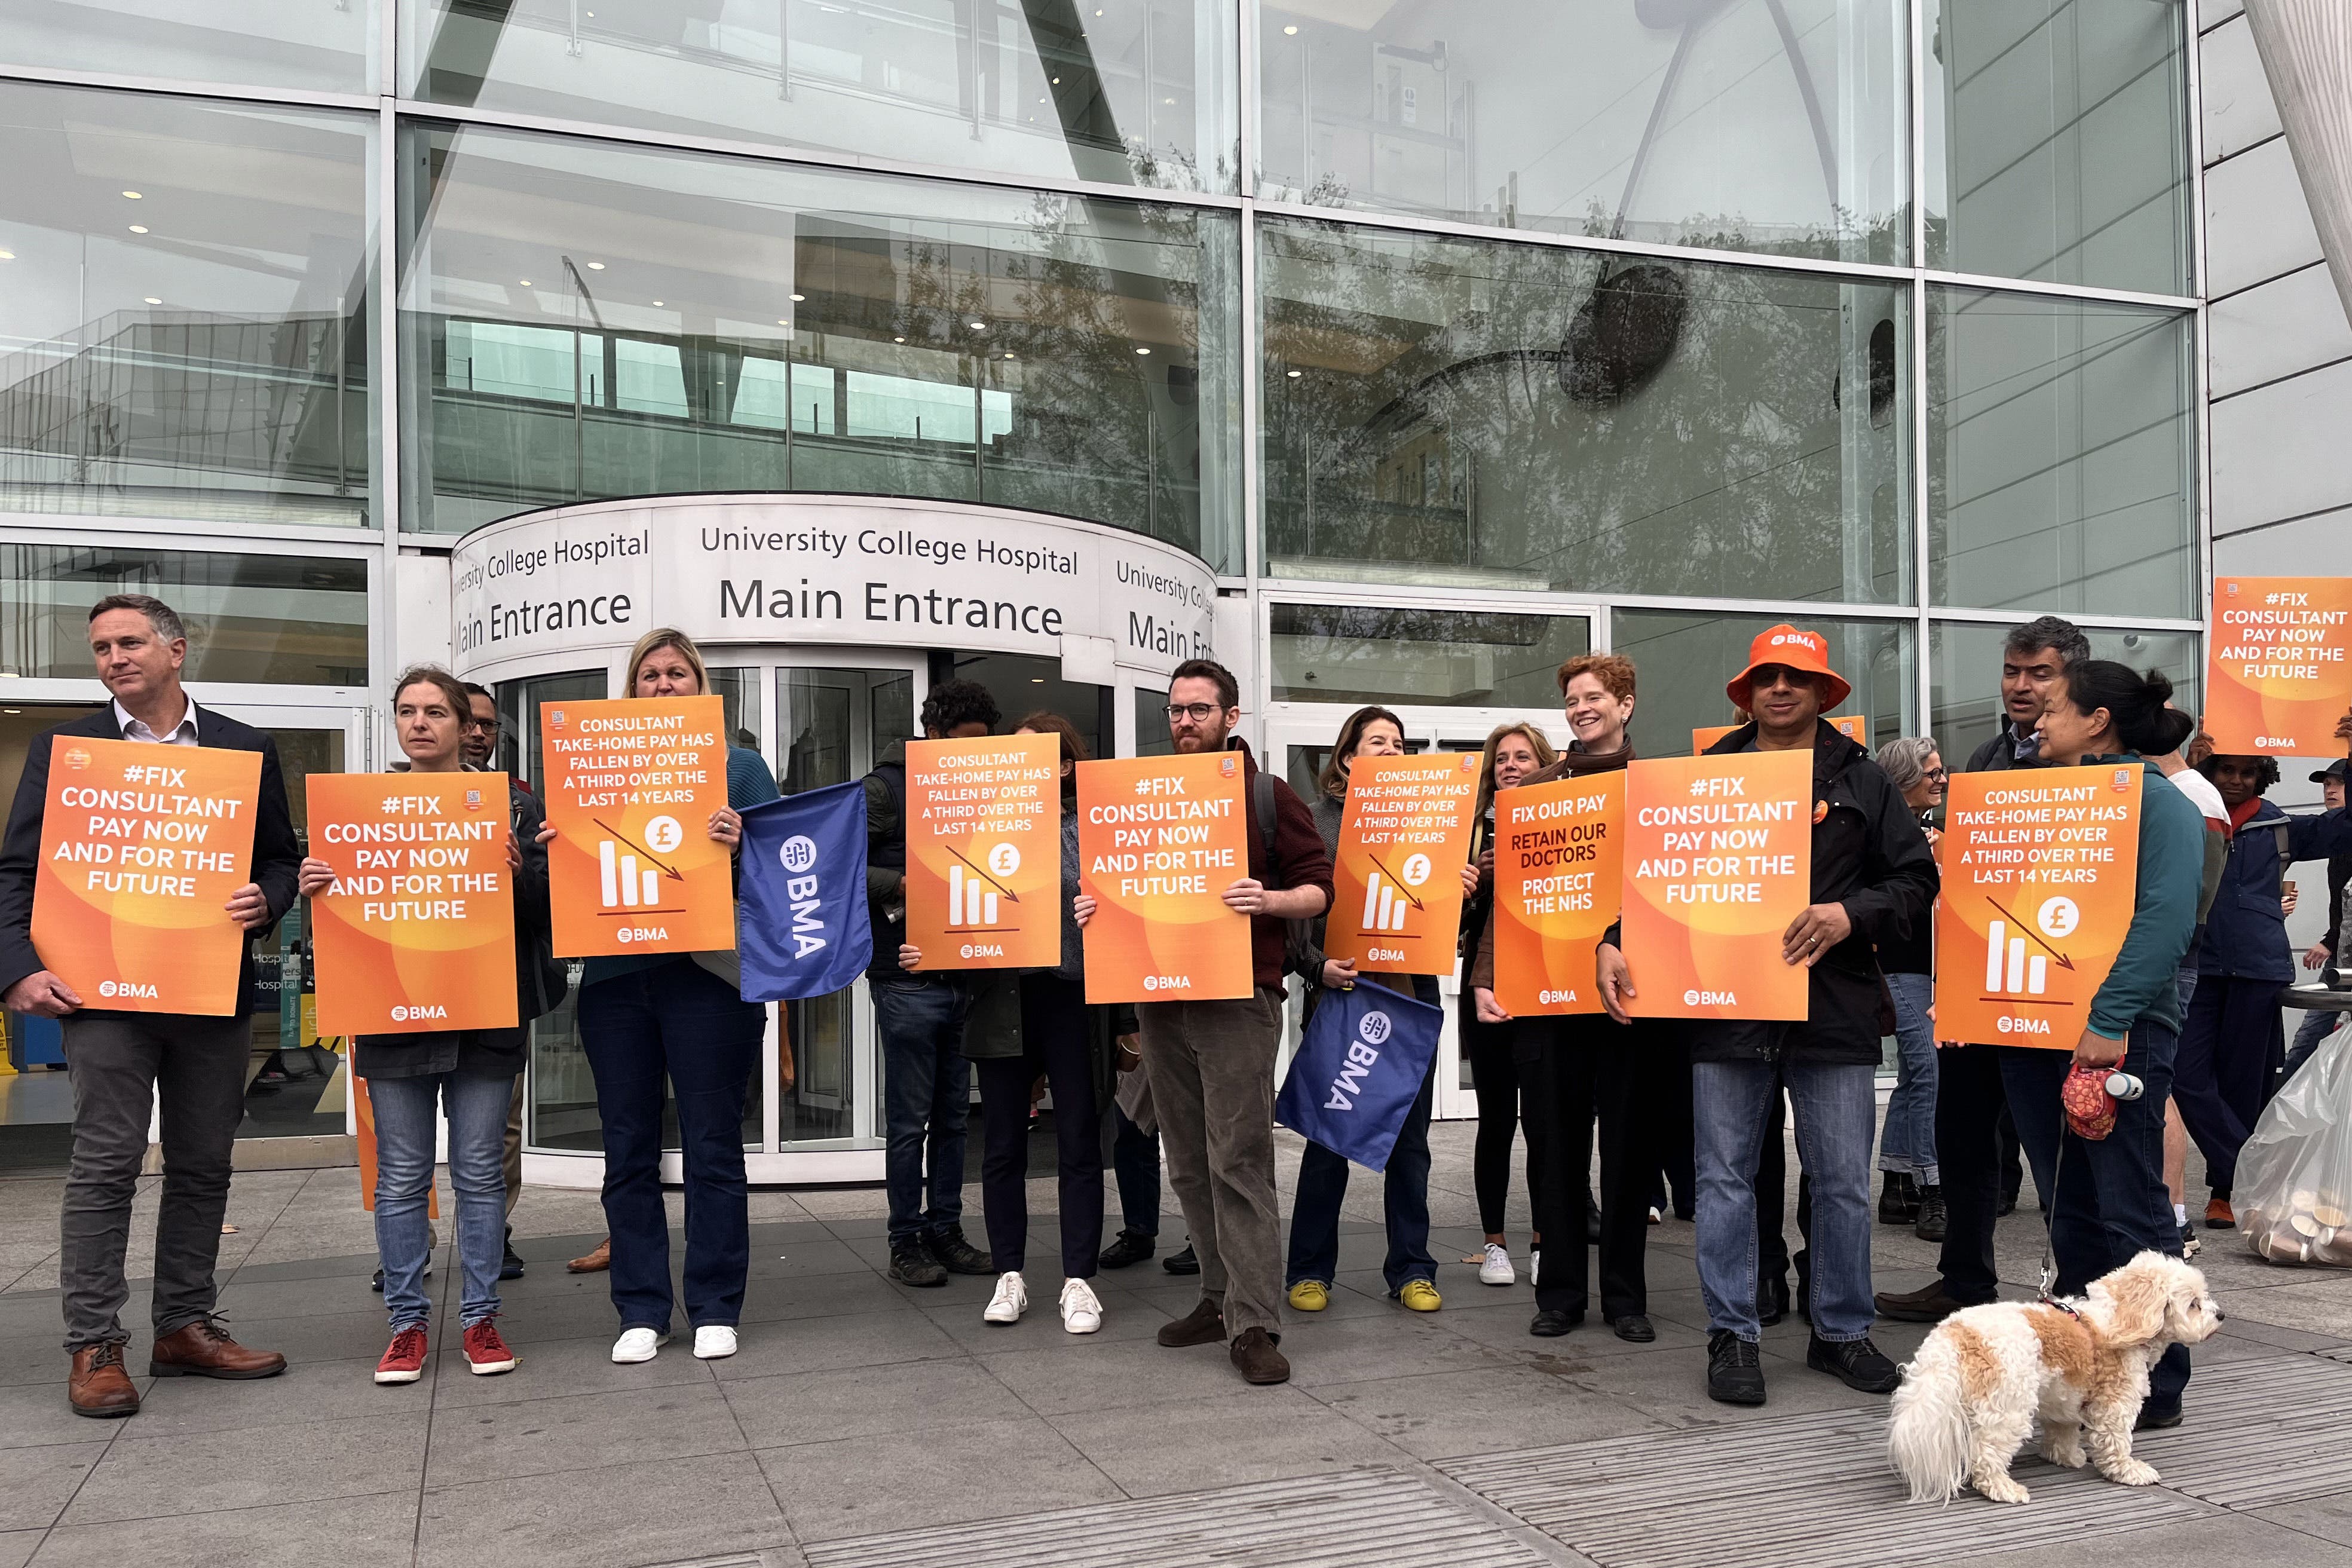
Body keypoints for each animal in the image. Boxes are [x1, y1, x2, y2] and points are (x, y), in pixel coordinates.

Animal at [1872, 1250, 2220, 1504]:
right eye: (2193, 1304)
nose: (2221, 1315)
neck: (2121, 1318)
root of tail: (1957, 1335)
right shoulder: (2115, 1405)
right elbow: (2117, 1443)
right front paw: (2127, 1471)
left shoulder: (2062, 1396)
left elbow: (2062, 1431)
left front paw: (2065, 1456)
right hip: (2008, 1411)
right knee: (1986, 1455)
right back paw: (2003, 1489)